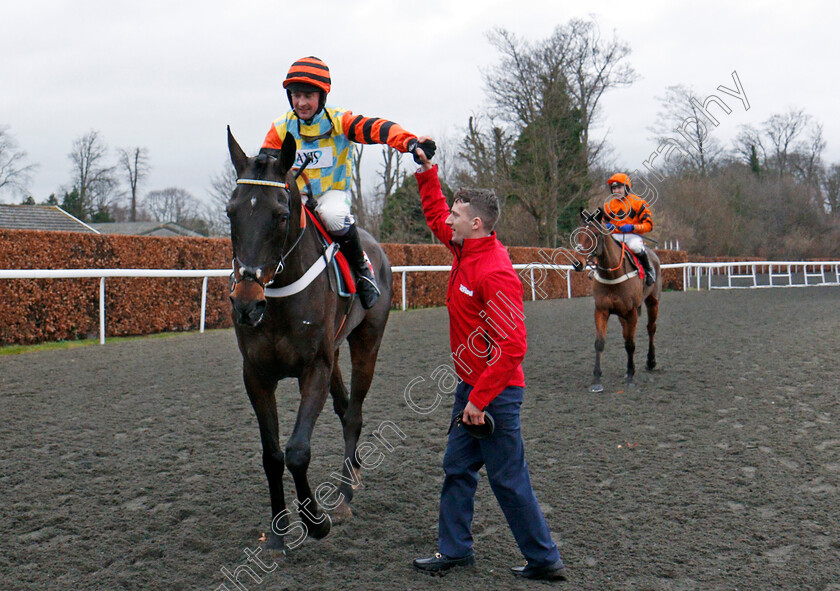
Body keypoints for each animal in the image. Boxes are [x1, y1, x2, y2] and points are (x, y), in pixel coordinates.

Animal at [225, 127, 392, 552]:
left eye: (281, 215)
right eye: (231, 213)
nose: (246, 304)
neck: (278, 298)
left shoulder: (313, 368)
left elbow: (297, 452)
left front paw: (316, 522)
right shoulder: (256, 375)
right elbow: (271, 455)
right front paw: (278, 531)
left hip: (367, 341)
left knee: (354, 414)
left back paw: (345, 495)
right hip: (335, 349)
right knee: (345, 407)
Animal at [580, 208, 660, 394]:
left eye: (595, 234)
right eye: (578, 234)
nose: (577, 263)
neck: (612, 275)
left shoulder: (631, 311)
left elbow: (631, 344)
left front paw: (630, 376)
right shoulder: (602, 310)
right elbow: (600, 343)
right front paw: (596, 380)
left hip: (652, 301)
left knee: (651, 328)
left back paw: (651, 361)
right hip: (622, 314)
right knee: (626, 334)